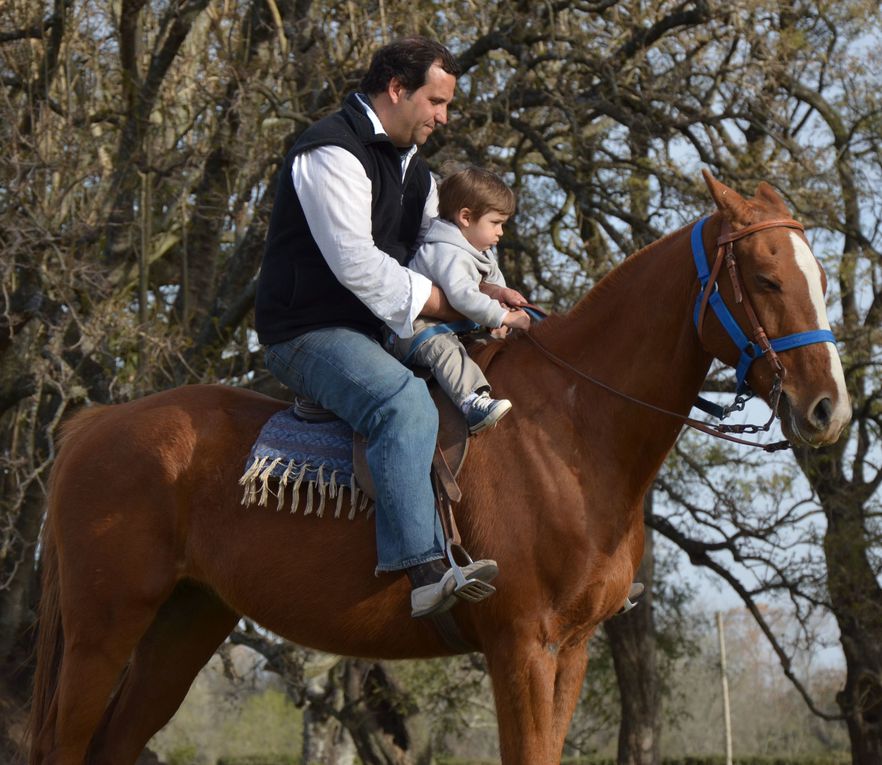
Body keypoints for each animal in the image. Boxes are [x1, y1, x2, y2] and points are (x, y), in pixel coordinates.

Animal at [31, 173, 848, 764]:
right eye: (766, 278)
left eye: (818, 275)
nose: (827, 408)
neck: (569, 431)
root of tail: (94, 427)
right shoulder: (521, 646)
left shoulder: (573, 650)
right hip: (104, 631)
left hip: (184, 622)